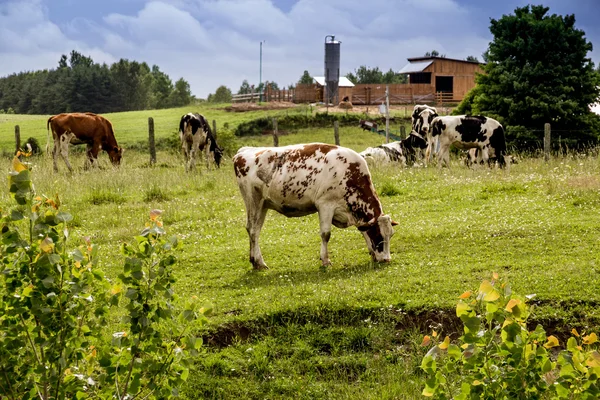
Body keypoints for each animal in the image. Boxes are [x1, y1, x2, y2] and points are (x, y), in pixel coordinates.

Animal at [234, 142, 398, 270]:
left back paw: (256, 261)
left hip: (263, 205)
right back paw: (258, 262)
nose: (386, 259)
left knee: (255, 231)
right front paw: (325, 260)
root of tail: (243, 151)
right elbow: (326, 234)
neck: (348, 172)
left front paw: (372, 253)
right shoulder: (325, 205)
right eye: (379, 235)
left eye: (390, 235)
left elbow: (364, 232)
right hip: (253, 202)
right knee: (253, 230)